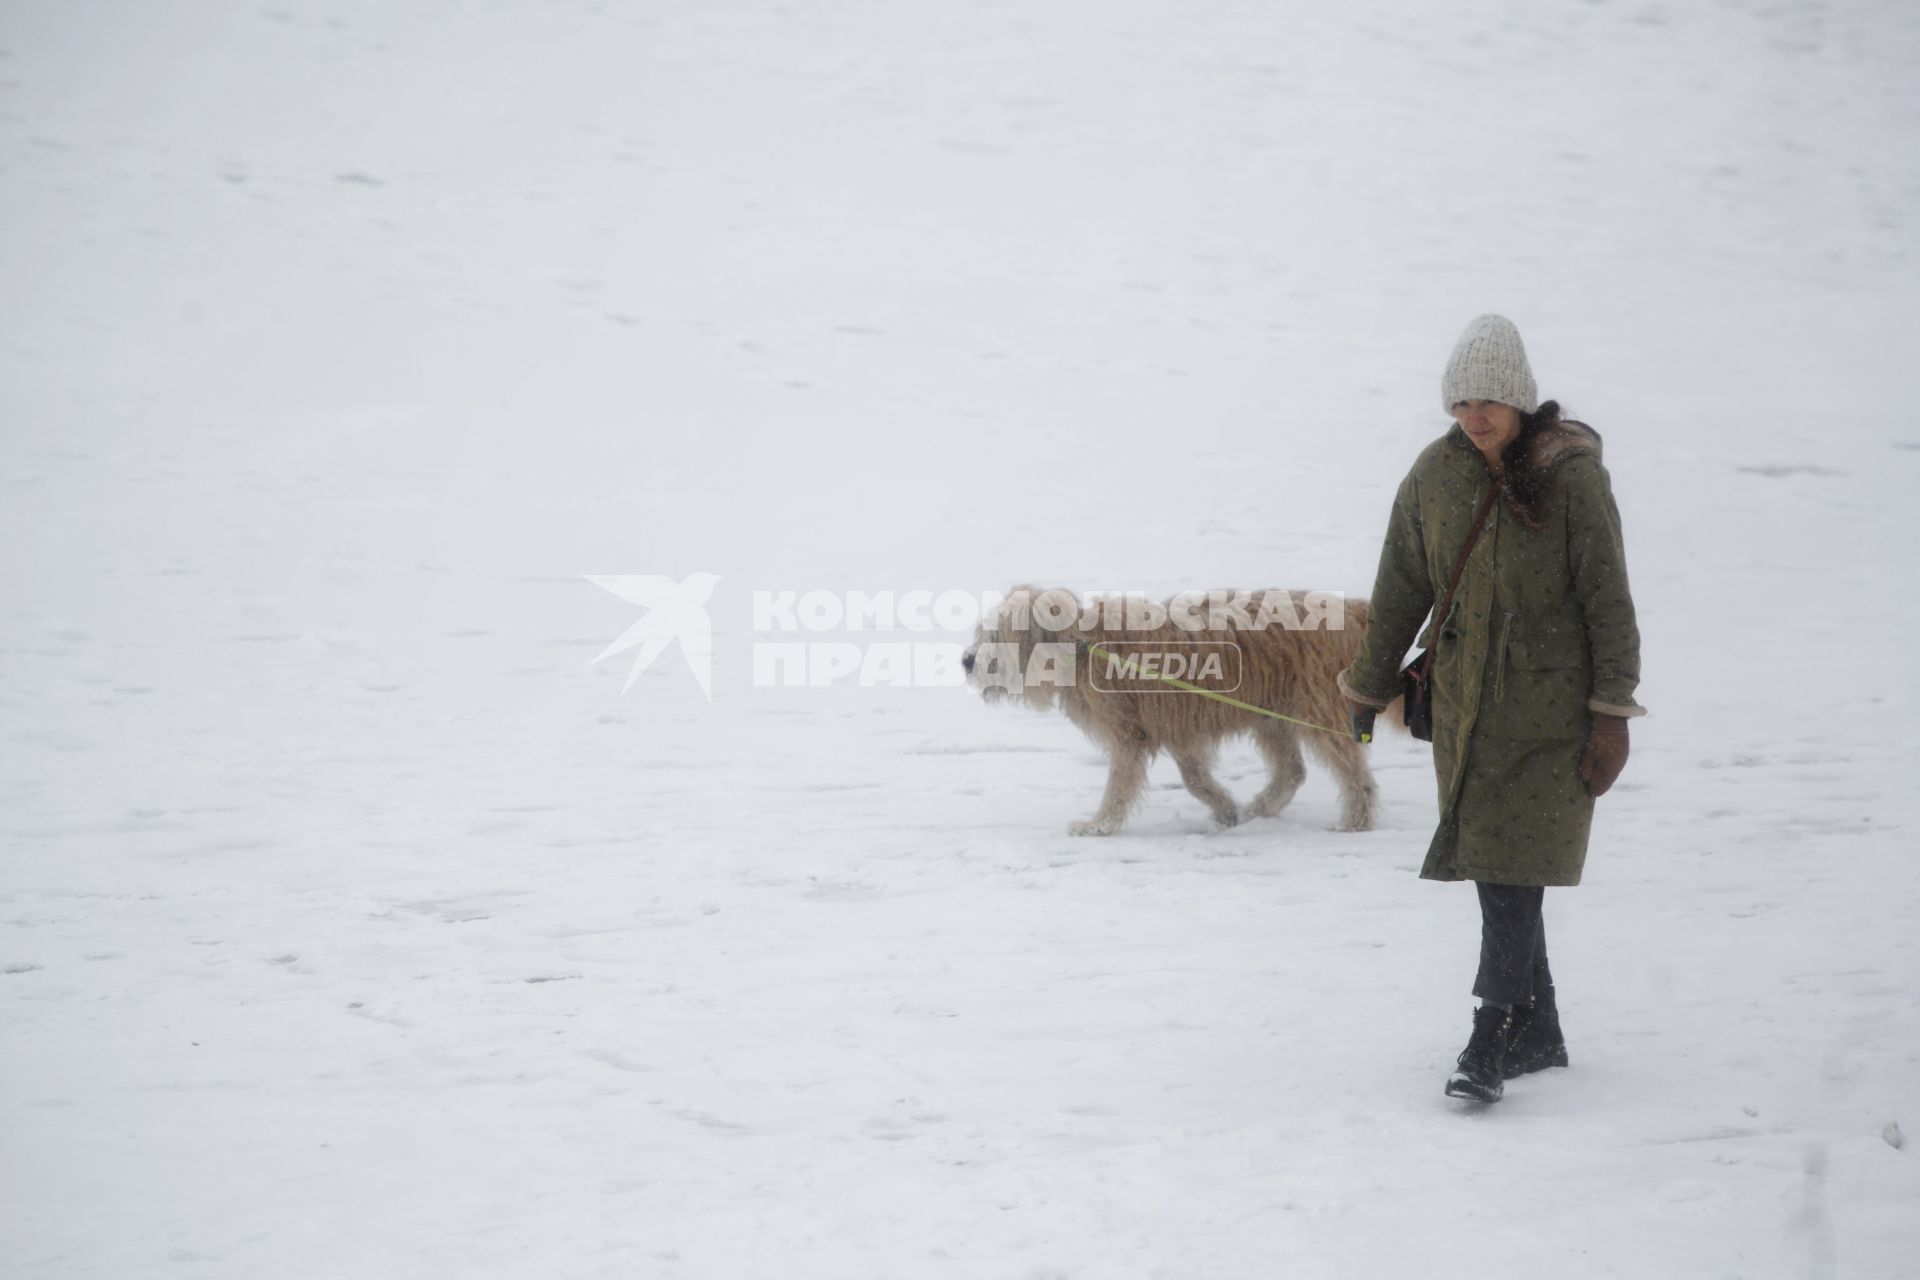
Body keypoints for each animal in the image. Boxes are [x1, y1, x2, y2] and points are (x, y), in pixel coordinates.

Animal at [960, 587, 1397, 836]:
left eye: (996, 634)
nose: (966, 661)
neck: (1083, 647)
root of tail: (1351, 611)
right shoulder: (1179, 727)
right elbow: (1195, 778)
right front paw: (1225, 811)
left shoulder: (1131, 732)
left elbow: (1121, 784)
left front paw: (1098, 825)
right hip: (1273, 713)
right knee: (1292, 770)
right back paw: (1261, 807)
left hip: (1316, 707)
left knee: (1352, 773)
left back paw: (1355, 821)